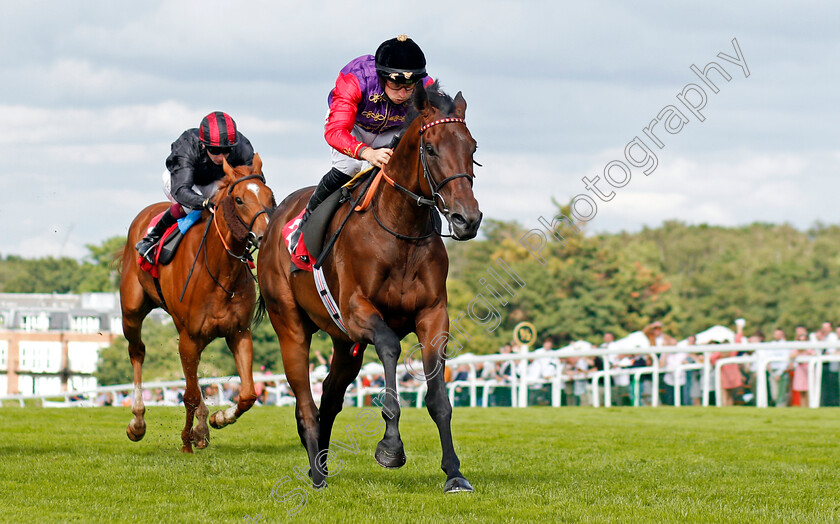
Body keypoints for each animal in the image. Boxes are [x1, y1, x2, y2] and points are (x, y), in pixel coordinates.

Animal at [119, 154, 276, 452]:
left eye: (270, 196)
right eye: (239, 200)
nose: (264, 236)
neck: (219, 269)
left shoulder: (239, 332)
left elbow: (247, 394)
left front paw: (217, 419)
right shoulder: (188, 337)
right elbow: (189, 394)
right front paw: (186, 441)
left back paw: (202, 426)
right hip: (131, 312)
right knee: (137, 352)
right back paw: (137, 421)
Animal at [260, 83, 482, 492]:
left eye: (472, 148)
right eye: (430, 149)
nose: (467, 218)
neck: (400, 232)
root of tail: (272, 225)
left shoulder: (433, 315)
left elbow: (438, 399)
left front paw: (454, 473)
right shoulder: (358, 311)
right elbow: (391, 347)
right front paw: (391, 447)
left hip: (345, 343)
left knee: (329, 397)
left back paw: (320, 464)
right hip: (291, 327)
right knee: (305, 402)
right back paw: (316, 475)